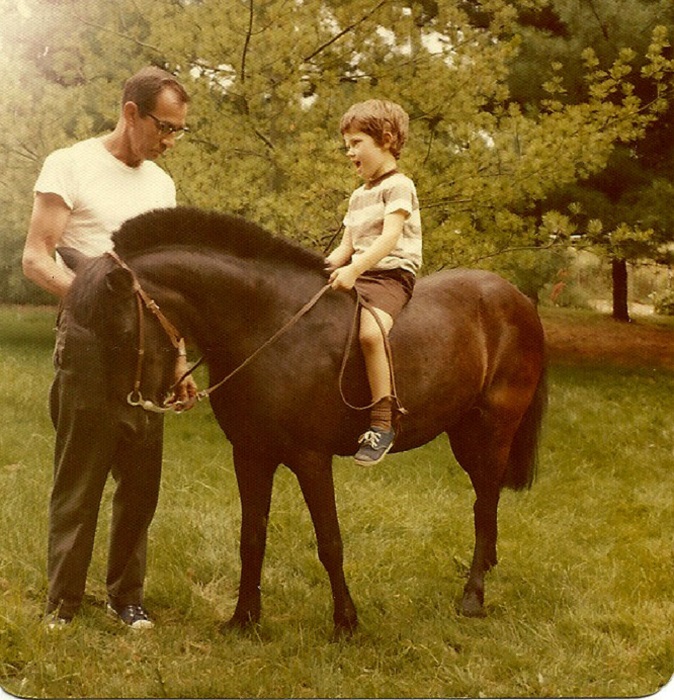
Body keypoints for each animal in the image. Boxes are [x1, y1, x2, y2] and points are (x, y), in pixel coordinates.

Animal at [61, 205, 544, 636]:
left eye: (120, 331)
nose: (113, 419)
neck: (268, 325)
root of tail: (517, 298)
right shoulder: (250, 455)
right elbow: (251, 537)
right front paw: (244, 620)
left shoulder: (311, 459)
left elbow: (329, 541)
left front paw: (345, 623)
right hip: (463, 433)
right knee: (487, 503)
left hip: (492, 431)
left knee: (484, 506)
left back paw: (473, 596)